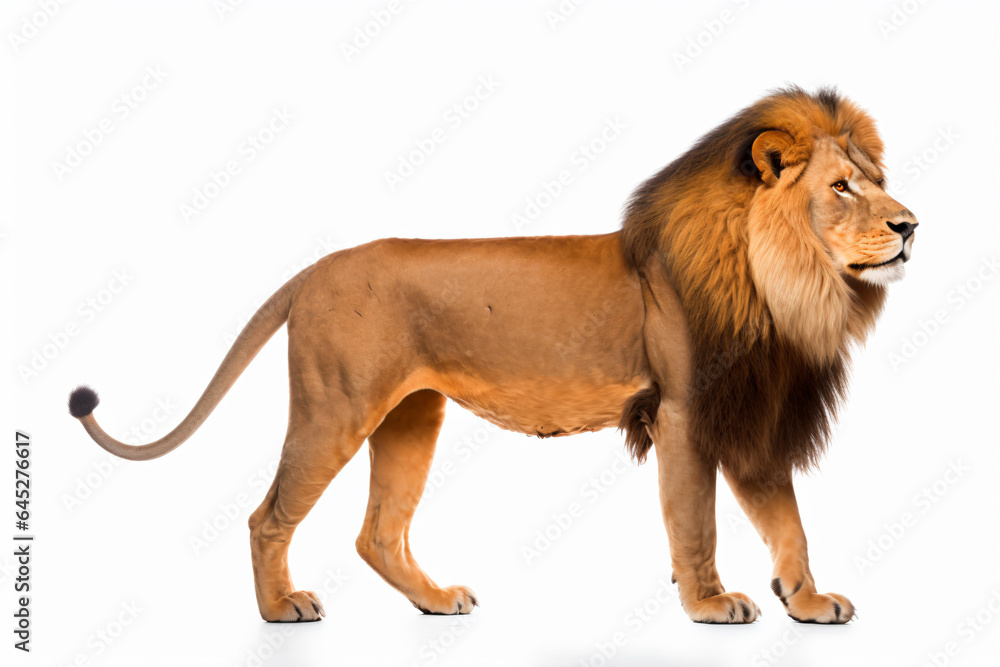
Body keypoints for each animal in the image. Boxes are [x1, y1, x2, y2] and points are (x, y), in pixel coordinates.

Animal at [69, 86, 917, 625]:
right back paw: (281, 608)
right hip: (334, 407)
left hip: (411, 416)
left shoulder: (745, 410)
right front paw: (710, 603)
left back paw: (434, 599)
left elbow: (787, 519)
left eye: (876, 181)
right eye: (843, 187)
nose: (911, 224)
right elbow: (696, 521)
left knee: (377, 532)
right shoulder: (684, 411)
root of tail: (314, 270)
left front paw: (806, 601)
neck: (782, 283)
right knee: (265, 515)